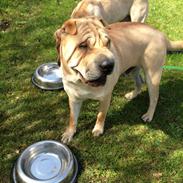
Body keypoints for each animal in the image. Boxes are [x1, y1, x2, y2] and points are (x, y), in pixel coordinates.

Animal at [55, 17, 183, 143]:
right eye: (83, 45)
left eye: (108, 43)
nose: (109, 65)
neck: (82, 83)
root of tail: (160, 33)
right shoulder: (73, 99)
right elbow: (72, 119)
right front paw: (69, 133)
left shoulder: (105, 97)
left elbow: (100, 115)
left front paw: (98, 129)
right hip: (132, 70)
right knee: (139, 83)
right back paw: (132, 95)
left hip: (152, 76)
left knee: (154, 97)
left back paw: (149, 115)